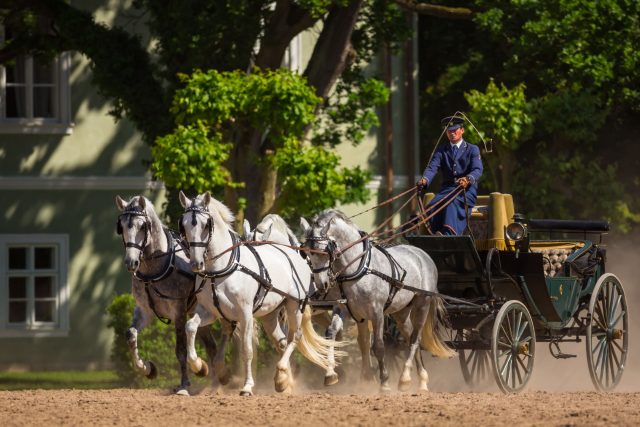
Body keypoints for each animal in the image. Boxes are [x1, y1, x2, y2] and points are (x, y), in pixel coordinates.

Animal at [115, 196, 228, 396]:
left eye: (142, 226)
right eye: (121, 226)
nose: (131, 262)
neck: (155, 270)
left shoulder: (178, 312)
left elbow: (180, 350)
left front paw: (184, 385)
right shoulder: (144, 311)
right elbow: (131, 335)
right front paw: (147, 369)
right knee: (211, 346)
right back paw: (213, 383)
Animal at [178, 192, 342, 396]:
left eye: (205, 224)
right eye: (184, 225)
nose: (196, 263)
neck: (221, 269)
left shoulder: (245, 314)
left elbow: (247, 350)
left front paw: (247, 386)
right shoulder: (209, 311)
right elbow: (191, 327)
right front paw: (200, 367)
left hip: (294, 305)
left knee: (295, 336)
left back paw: (282, 374)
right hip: (270, 314)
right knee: (281, 341)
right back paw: (283, 380)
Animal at [302, 209, 456, 392]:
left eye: (324, 251)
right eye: (306, 253)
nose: (321, 284)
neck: (359, 268)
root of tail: (423, 254)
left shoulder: (377, 313)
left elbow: (378, 346)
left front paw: (384, 383)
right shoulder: (343, 307)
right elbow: (331, 334)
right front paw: (331, 375)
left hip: (422, 304)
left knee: (414, 339)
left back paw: (406, 379)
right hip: (401, 313)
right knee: (411, 337)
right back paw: (419, 380)